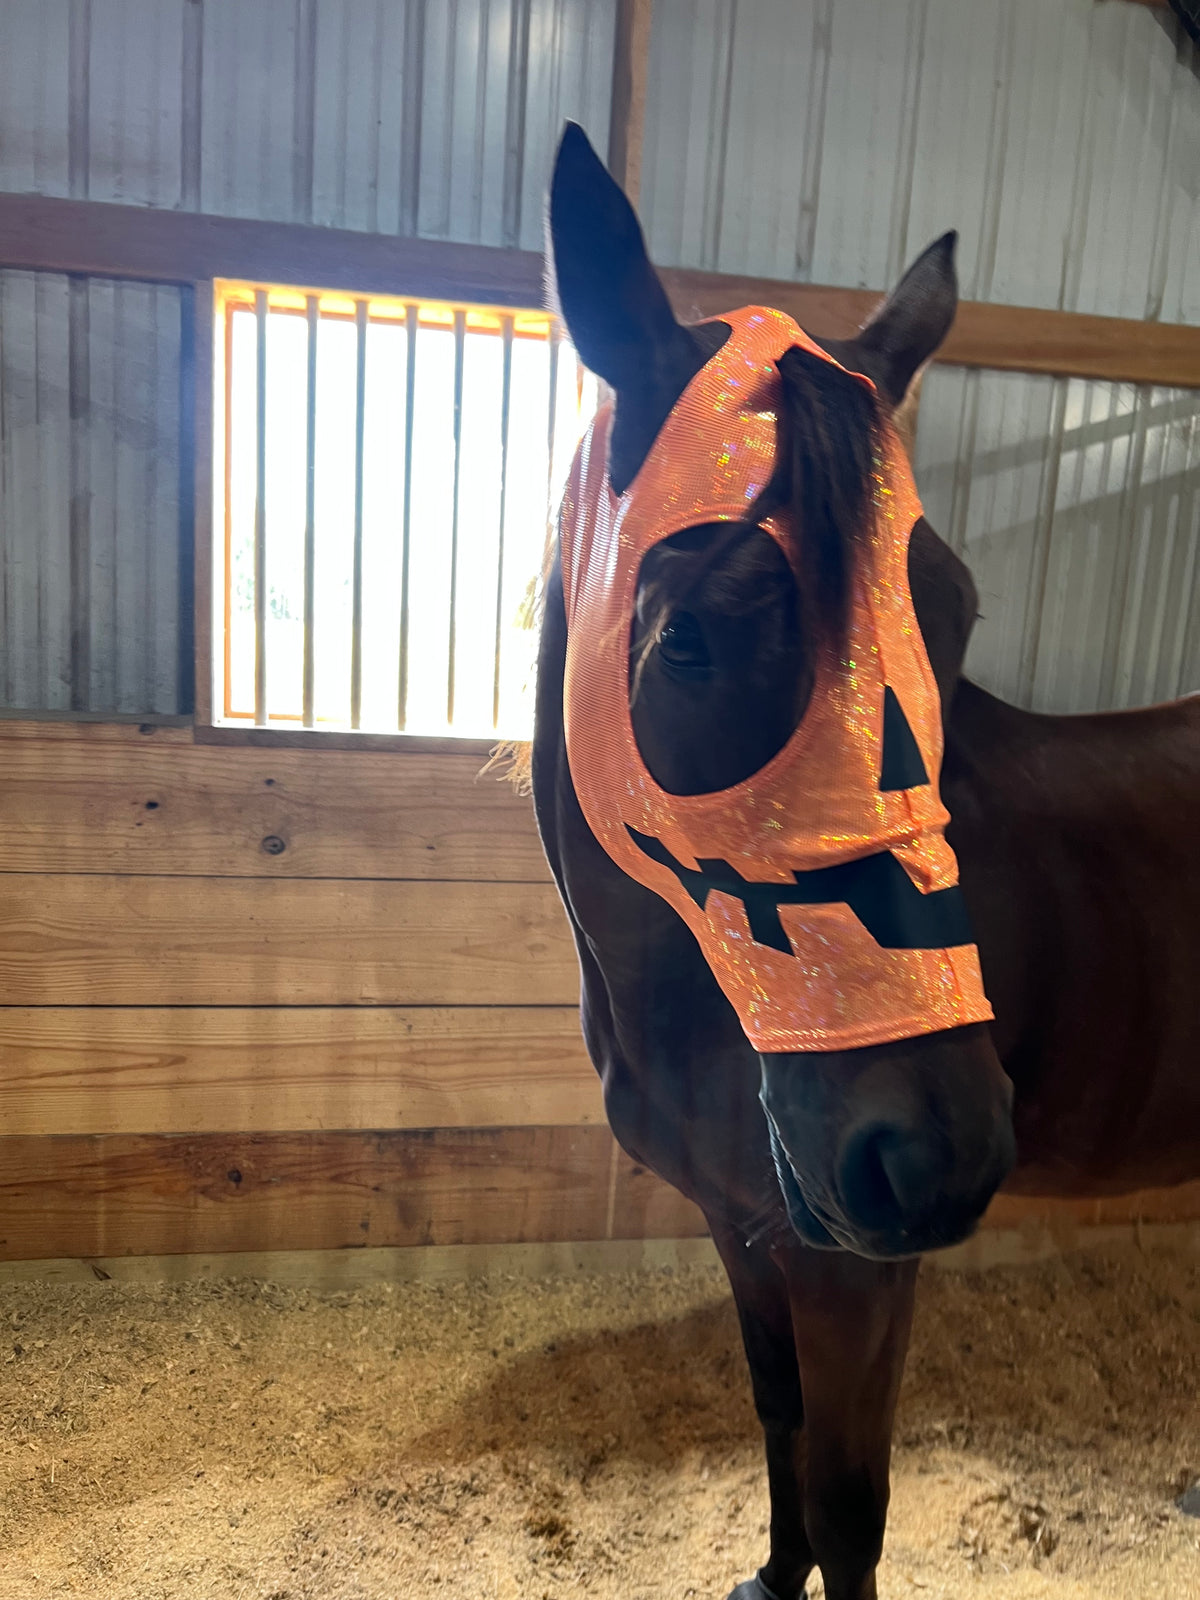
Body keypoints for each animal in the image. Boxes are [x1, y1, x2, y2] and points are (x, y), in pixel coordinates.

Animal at [529, 123, 1200, 1600]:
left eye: (951, 612)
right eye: (688, 638)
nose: (939, 1154)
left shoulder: (857, 1266)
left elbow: (851, 1504)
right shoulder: (750, 1224)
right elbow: (773, 1416)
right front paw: (765, 1577)